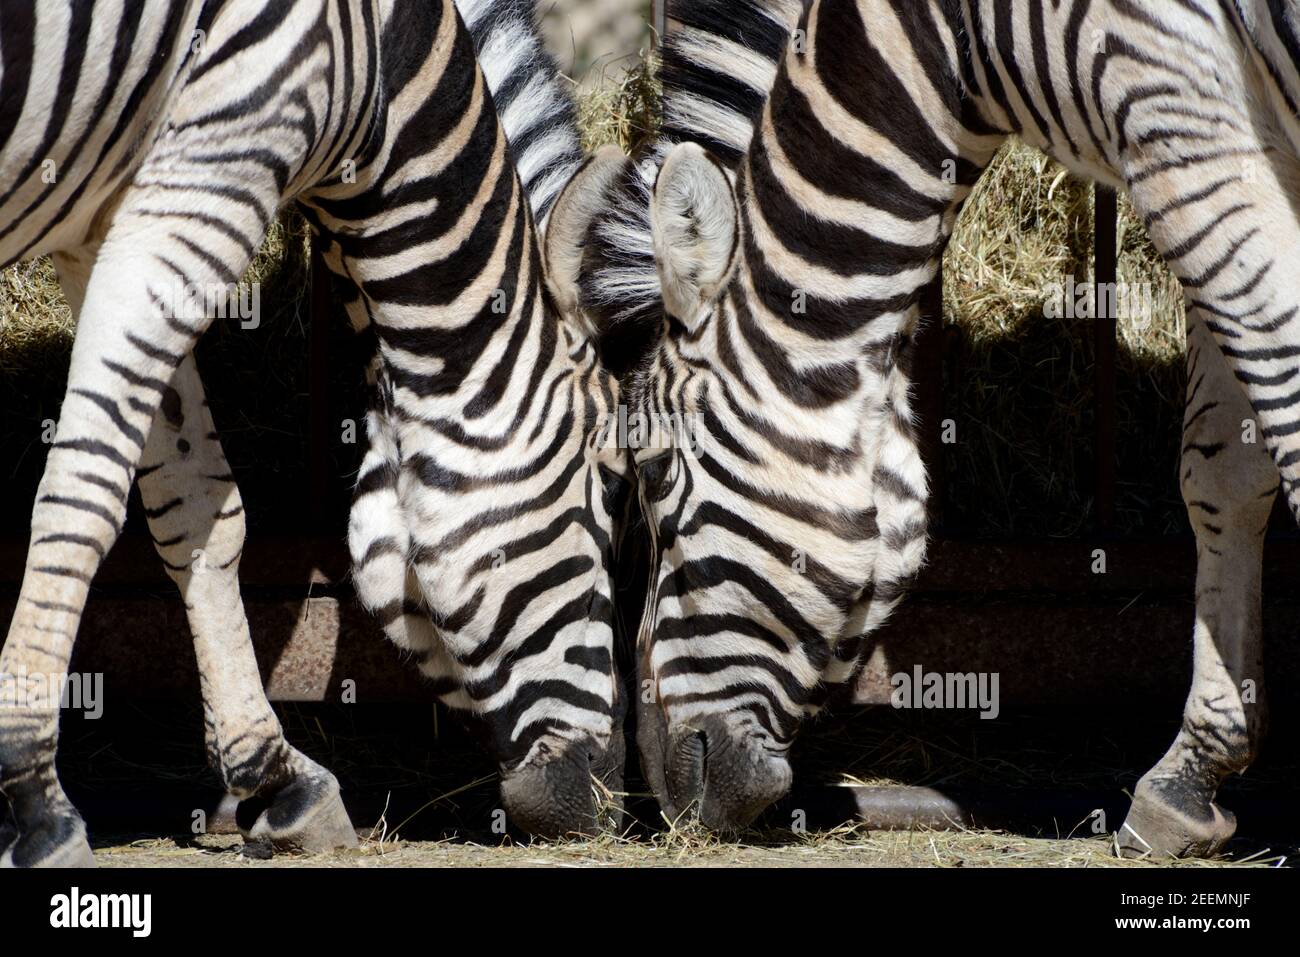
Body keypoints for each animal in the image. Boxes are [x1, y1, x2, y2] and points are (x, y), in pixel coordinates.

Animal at [0, 0, 629, 868]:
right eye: (609, 491)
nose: (605, 795)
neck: (387, 59)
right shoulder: (219, 158)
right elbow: (87, 491)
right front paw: (35, 798)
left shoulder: (112, 217)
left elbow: (195, 506)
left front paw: (276, 775)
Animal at [587, 0, 1300, 852]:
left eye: (657, 479)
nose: (661, 793)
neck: (943, 34)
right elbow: (1224, 466)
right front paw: (1191, 775)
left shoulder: (1169, 91)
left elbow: (1286, 384)